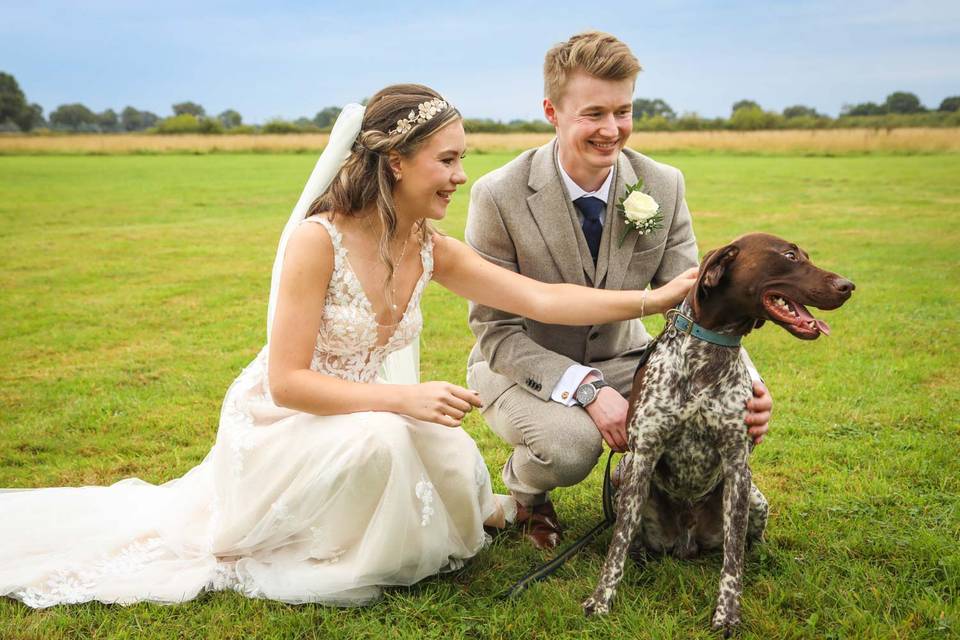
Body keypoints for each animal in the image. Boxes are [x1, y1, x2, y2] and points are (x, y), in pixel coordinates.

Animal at [580, 234, 852, 636]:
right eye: (789, 256)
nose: (848, 285)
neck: (708, 354)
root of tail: (686, 543)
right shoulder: (642, 457)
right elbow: (617, 546)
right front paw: (601, 601)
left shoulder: (738, 467)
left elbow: (733, 558)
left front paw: (727, 614)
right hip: (622, 473)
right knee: (632, 540)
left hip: (755, 497)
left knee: (747, 544)